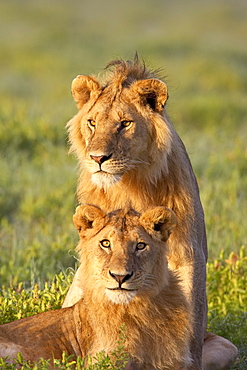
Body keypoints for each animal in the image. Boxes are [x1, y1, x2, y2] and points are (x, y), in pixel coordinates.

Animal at [64, 56, 238, 368]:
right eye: (92, 122)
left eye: (125, 124)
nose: (97, 158)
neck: (128, 184)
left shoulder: (188, 252)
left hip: (227, 347)